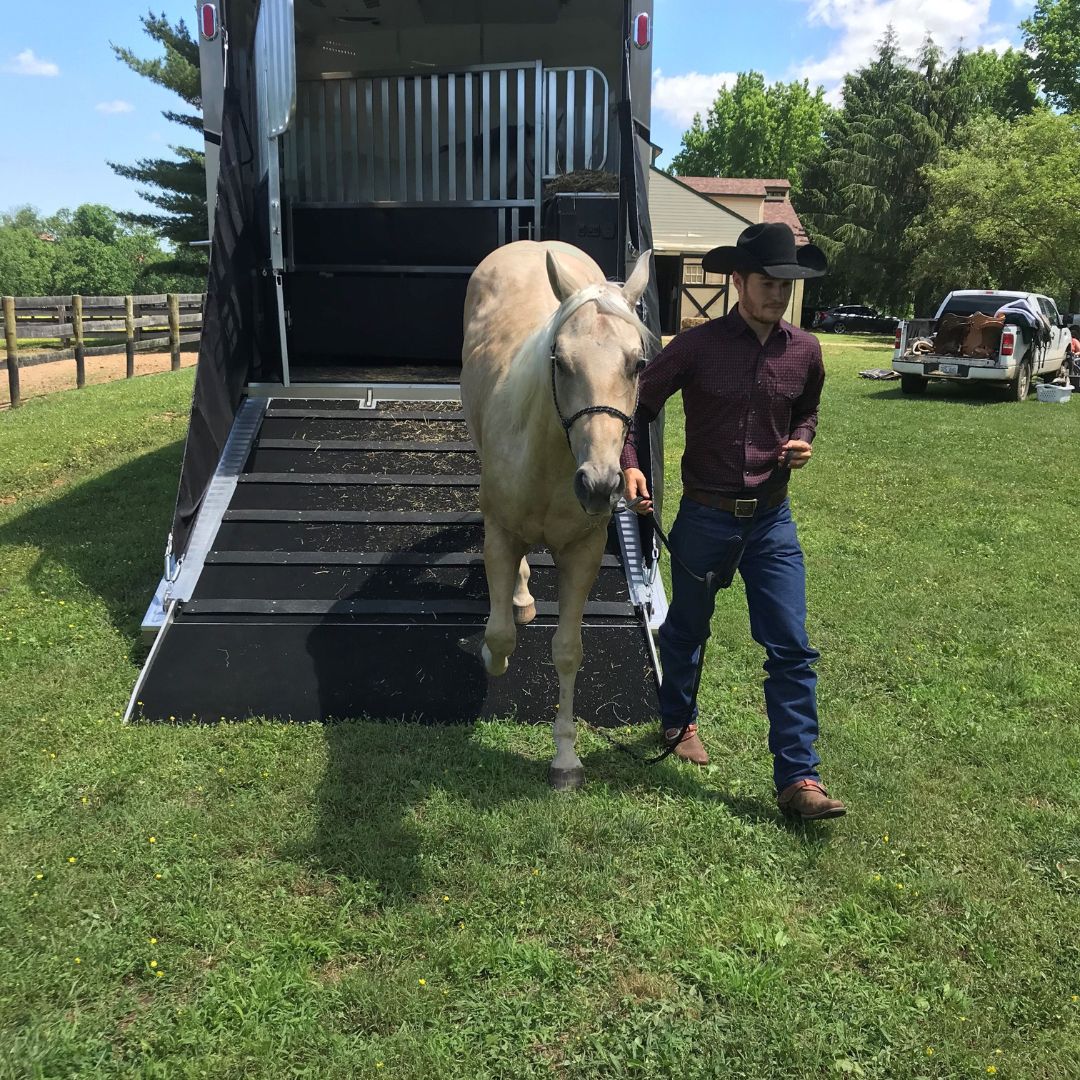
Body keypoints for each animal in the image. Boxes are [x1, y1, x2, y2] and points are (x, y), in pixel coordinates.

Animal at [460, 240, 653, 790]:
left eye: (637, 363)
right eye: (561, 362)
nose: (600, 484)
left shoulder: (582, 553)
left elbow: (568, 650)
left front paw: (565, 756)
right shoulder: (501, 536)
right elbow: (499, 634)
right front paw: (489, 654)